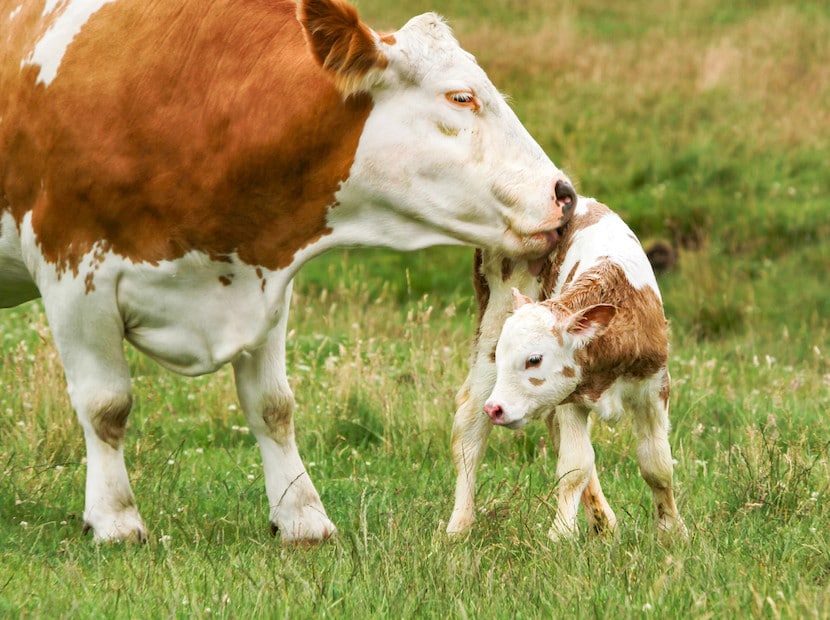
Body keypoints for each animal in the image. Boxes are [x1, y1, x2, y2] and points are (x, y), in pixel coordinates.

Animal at [0, 0, 578, 543]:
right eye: (461, 97)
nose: (564, 193)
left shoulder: (265, 278)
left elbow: (273, 405)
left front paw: (301, 516)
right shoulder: (72, 273)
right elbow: (106, 406)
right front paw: (115, 521)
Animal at [446, 198, 687, 543]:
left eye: (534, 359)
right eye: (505, 357)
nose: (496, 408)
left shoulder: (654, 386)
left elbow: (657, 463)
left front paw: (672, 531)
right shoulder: (570, 399)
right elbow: (575, 466)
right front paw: (561, 534)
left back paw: (604, 526)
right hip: (490, 329)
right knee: (469, 428)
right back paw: (458, 527)